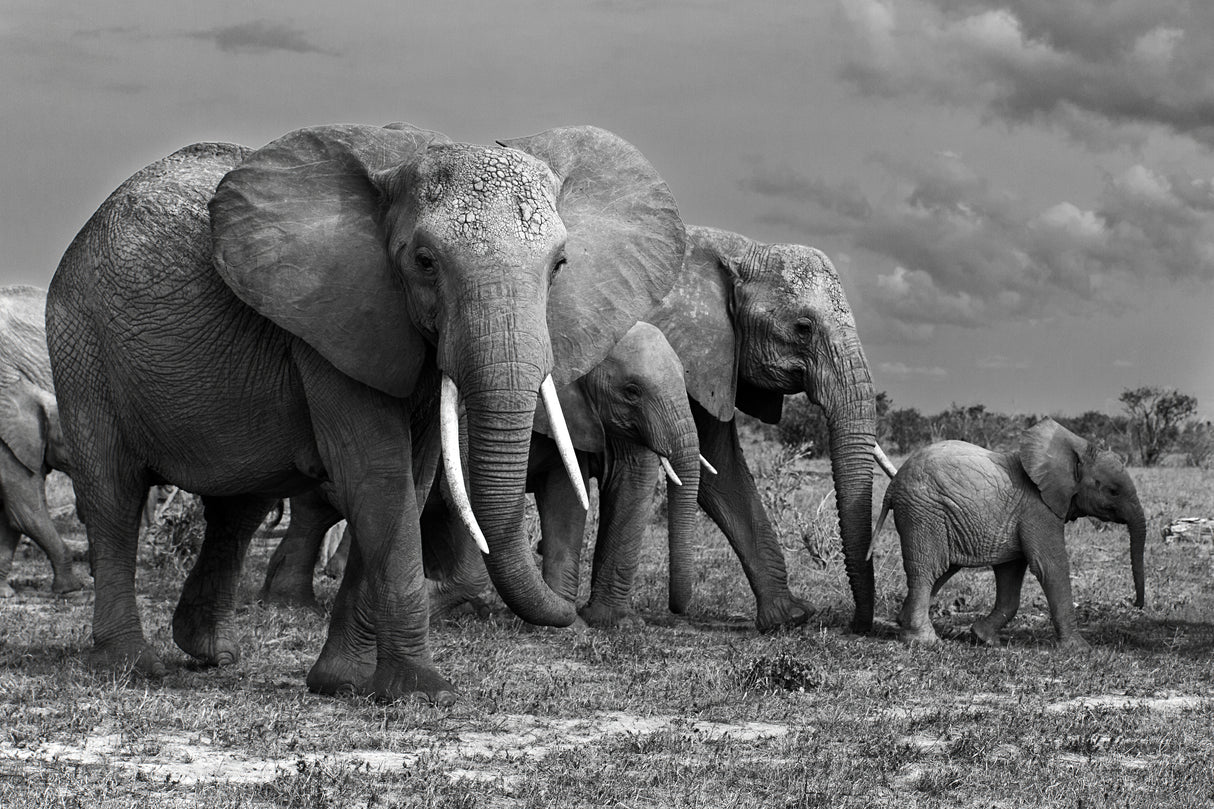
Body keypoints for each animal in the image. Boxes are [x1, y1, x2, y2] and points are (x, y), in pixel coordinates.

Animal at [261, 320, 706, 629]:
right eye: (631, 392)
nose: (680, 611)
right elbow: (463, 496)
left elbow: (564, 501)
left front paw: (570, 624)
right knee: (318, 511)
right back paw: (289, 603)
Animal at [648, 226, 884, 632]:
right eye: (803, 328)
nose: (856, 625)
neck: (737, 251)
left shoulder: (711, 356)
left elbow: (718, 469)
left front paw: (790, 617)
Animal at [872, 418, 1146, 649]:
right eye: (1113, 491)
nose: (1137, 605)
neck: (1075, 448)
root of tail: (893, 485)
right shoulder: (1038, 509)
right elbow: (1050, 566)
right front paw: (1080, 649)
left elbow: (1011, 572)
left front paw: (984, 638)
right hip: (924, 512)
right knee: (927, 568)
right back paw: (925, 641)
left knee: (943, 568)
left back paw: (903, 621)